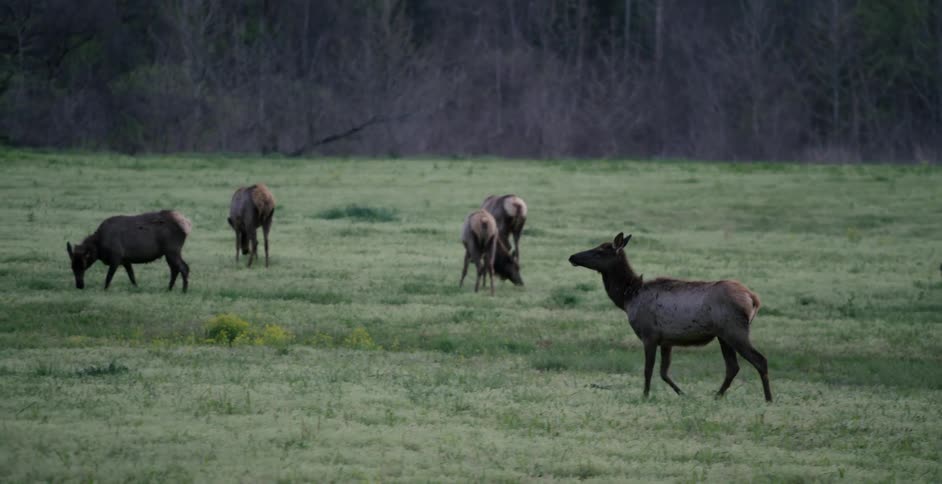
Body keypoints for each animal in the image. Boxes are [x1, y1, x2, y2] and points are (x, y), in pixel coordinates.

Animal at [569, 233, 772, 402]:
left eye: (600, 251)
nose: (572, 257)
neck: (628, 298)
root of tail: (753, 299)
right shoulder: (667, 340)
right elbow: (664, 372)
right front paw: (683, 394)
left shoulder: (649, 334)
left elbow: (648, 369)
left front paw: (645, 396)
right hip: (723, 335)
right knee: (732, 367)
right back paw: (717, 396)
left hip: (734, 329)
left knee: (759, 360)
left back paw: (768, 399)